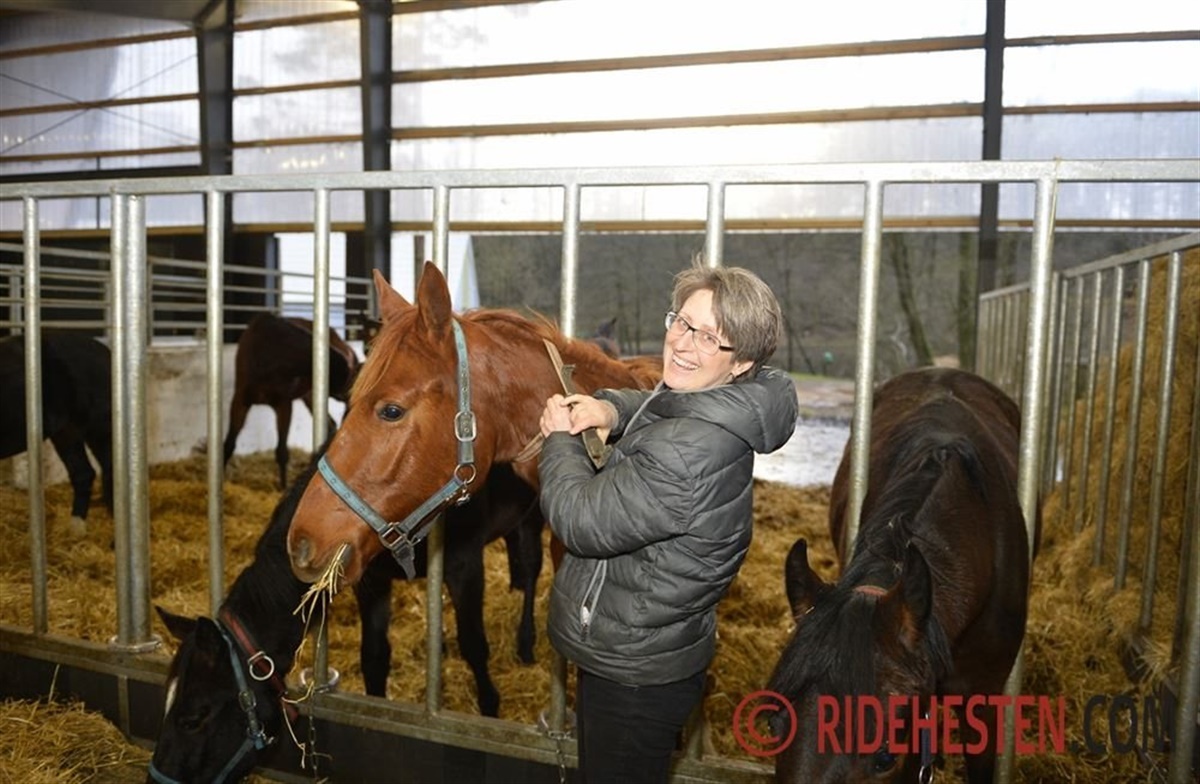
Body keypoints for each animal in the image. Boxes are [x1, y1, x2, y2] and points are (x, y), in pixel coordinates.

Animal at [147, 457, 545, 783]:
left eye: (193, 719)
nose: (155, 780)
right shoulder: (373, 583)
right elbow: (374, 658)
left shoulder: (464, 565)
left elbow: (474, 646)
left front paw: (490, 713)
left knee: (530, 568)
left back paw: (526, 644)